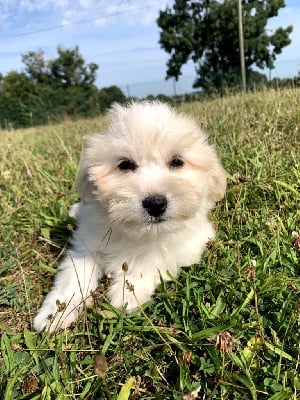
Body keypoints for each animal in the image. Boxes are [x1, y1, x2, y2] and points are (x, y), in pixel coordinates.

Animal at [33, 101, 225, 332]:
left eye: (177, 162)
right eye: (125, 164)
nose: (155, 203)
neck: (138, 233)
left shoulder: (191, 243)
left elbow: (153, 259)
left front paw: (126, 294)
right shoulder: (87, 245)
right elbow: (74, 276)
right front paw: (55, 313)